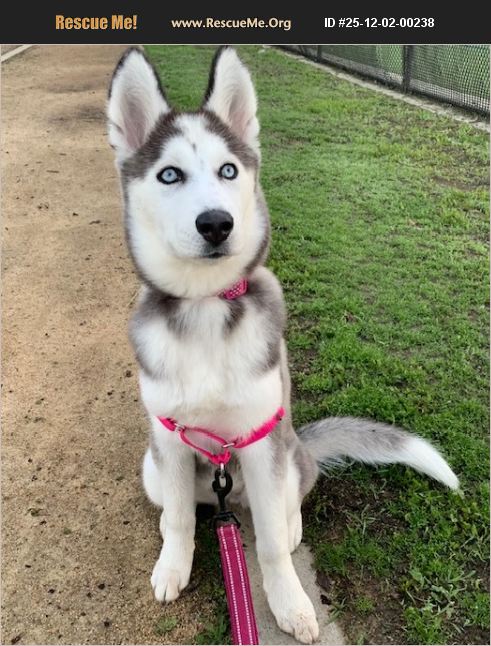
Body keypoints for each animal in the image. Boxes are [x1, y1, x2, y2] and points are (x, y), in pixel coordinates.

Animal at [107, 46, 459, 644]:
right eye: (169, 174)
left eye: (228, 170)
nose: (217, 223)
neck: (206, 308)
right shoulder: (171, 438)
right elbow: (178, 519)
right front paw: (173, 567)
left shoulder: (258, 437)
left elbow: (270, 542)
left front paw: (290, 601)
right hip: (151, 466)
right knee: (182, 507)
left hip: (286, 454)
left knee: (287, 505)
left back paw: (292, 528)